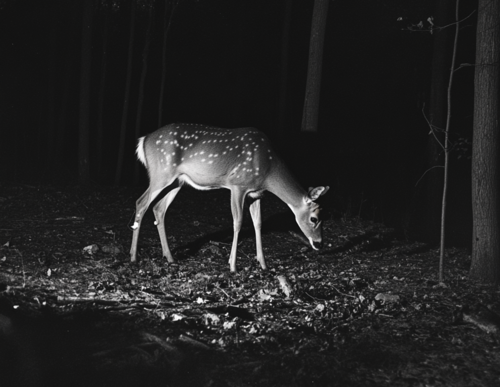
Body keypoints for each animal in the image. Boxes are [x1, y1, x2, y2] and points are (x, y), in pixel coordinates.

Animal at [131, 124, 330, 272]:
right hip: (161, 173)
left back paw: (170, 257)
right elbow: (238, 222)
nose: (319, 244)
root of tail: (143, 140)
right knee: (141, 202)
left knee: (158, 208)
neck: (268, 171)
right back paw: (133, 256)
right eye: (314, 218)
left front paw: (263, 263)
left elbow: (258, 223)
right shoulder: (237, 185)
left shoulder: (255, 193)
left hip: (177, 181)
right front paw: (232, 265)